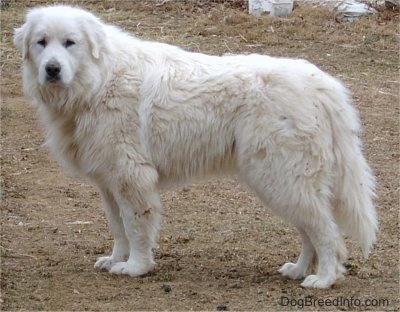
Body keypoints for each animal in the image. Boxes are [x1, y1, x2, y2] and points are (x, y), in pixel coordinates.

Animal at [13, 5, 378, 288]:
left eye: (70, 43)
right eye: (41, 43)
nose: (52, 69)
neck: (99, 80)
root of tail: (322, 84)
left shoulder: (132, 179)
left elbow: (136, 226)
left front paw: (136, 267)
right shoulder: (109, 182)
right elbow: (118, 229)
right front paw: (116, 259)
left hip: (281, 178)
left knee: (326, 232)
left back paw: (324, 278)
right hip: (283, 183)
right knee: (309, 230)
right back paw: (299, 269)